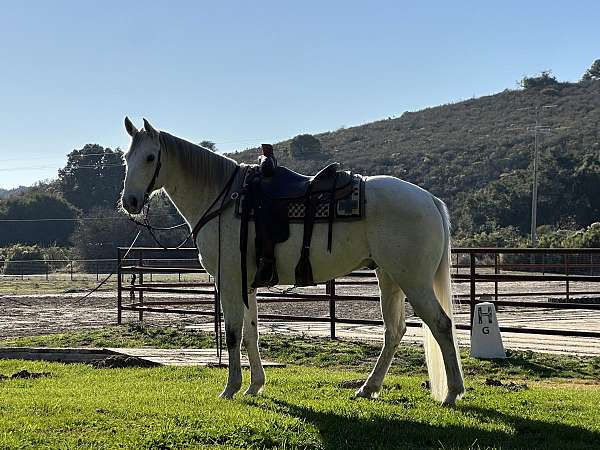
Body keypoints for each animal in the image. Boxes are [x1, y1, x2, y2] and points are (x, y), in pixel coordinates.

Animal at [120, 118, 464, 406]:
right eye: (126, 158)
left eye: (149, 157)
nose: (130, 202)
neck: (225, 199)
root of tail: (429, 199)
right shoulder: (247, 284)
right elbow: (251, 333)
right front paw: (255, 386)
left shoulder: (228, 280)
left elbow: (232, 334)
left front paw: (231, 388)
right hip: (390, 278)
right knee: (394, 331)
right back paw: (368, 388)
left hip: (414, 281)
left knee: (441, 324)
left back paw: (452, 393)